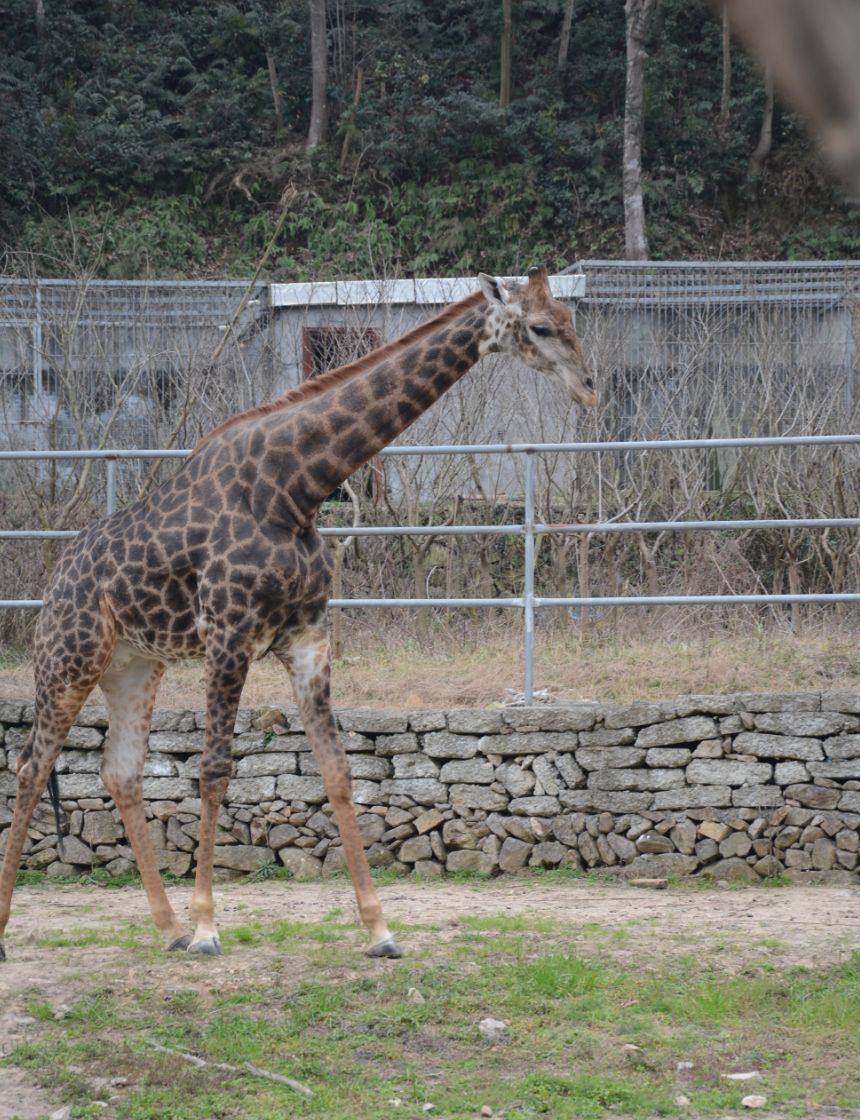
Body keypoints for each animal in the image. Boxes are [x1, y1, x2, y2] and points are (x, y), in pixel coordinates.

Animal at [0, 266, 595, 958]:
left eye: (571, 321)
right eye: (540, 326)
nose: (588, 388)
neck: (294, 489)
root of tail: (57, 579)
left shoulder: (309, 636)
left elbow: (338, 772)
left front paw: (379, 929)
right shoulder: (229, 633)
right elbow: (214, 769)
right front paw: (208, 928)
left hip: (134, 665)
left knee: (119, 772)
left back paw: (167, 928)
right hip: (68, 658)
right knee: (31, 766)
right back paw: (22, 932)